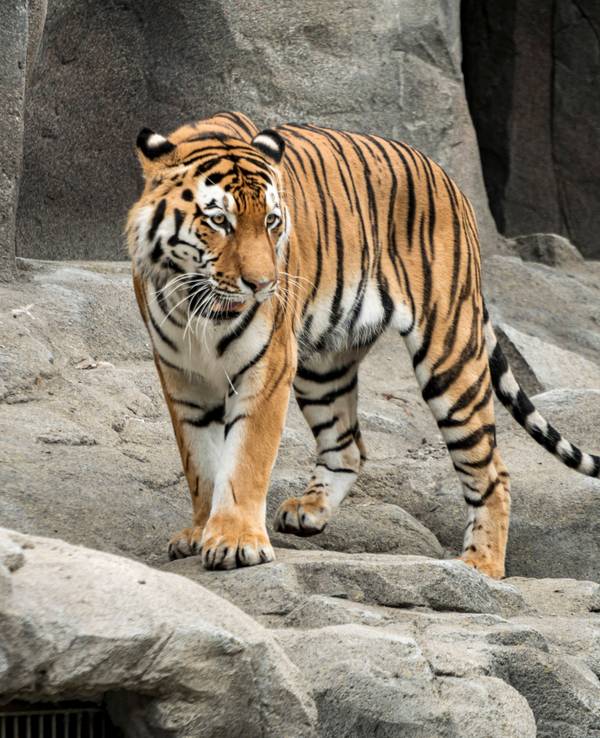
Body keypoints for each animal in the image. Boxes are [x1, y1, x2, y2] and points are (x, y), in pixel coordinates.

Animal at [126, 111, 600, 579]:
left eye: (271, 221)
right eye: (219, 221)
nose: (263, 285)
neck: (197, 304)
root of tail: (450, 180)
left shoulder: (267, 367)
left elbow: (245, 460)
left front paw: (236, 542)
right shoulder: (182, 377)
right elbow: (200, 464)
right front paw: (200, 531)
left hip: (449, 354)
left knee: (491, 470)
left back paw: (481, 564)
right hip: (323, 366)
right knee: (348, 445)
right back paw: (309, 511)